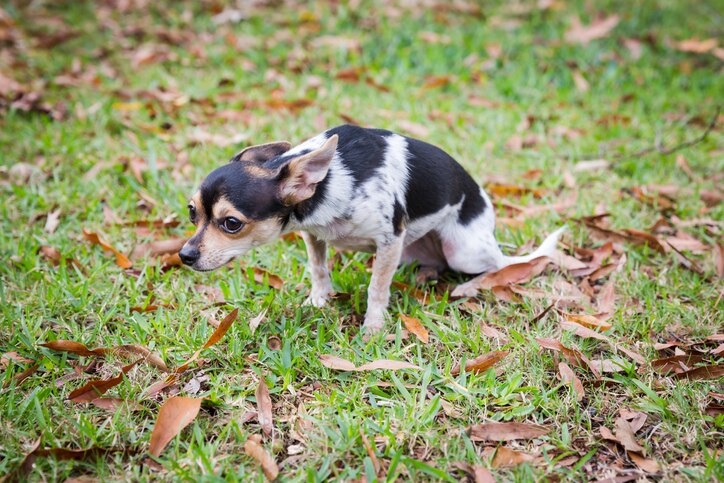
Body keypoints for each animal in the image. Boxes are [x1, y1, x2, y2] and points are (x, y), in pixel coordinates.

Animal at [178, 125, 564, 336]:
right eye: (192, 212)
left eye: (231, 224)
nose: (184, 255)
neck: (332, 179)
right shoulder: (313, 234)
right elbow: (318, 268)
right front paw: (319, 300)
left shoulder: (390, 240)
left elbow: (377, 288)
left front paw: (373, 327)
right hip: (413, 249)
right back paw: (424, 276)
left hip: (463, 251)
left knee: (500, 266)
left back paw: (470, 286)